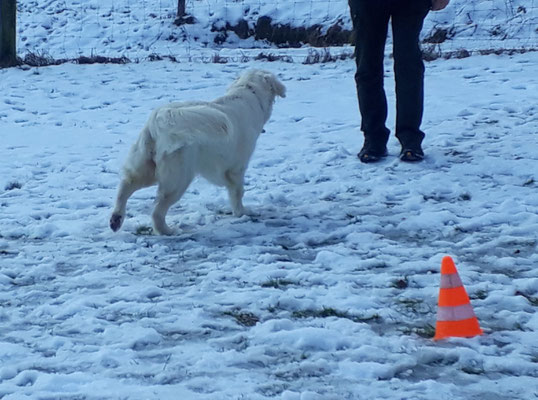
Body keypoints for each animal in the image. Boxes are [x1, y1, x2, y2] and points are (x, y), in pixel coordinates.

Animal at [109, 70, 284, 236]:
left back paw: (116, 219)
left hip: (146, 168)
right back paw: (168, 231)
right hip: (179, 178)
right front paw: (242, 212)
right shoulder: (237, 167)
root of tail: (158, 119)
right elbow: (238, 192)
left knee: (125, 186)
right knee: (157, 210)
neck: (249, 91)